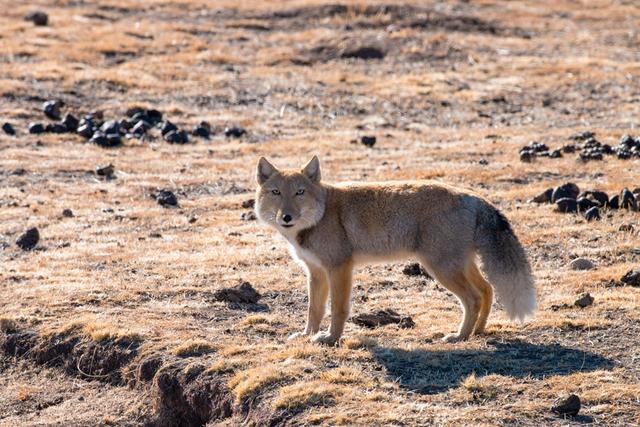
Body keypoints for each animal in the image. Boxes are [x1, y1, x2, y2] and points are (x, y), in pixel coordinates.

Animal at [254, 155, 536, 346]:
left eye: (300, 192)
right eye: (276, 192)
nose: (286, 217)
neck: (320, 215)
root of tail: (474, 197)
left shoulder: (339, 268)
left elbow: (338, 309)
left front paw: (331, 338)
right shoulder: (316, 272)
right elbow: (315, 309)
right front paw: (307, 335)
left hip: (441, 268)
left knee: (473, 298)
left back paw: (459, 336)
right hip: (459, 266)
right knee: (487, 289)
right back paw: (478, 331)